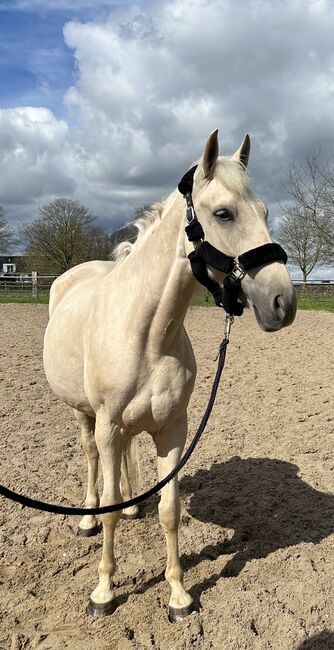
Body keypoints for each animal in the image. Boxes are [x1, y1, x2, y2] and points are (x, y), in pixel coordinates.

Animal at [43, 129, 296, 620]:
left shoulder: (173, 430)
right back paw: (86, 518)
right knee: (91, 459)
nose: (283, 302)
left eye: (265, 212)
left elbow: (170, 509)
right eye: (223, 213)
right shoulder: (108, 425)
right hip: (85, 415)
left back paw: (131, 509)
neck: (146, 335)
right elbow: (108, 504)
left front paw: (178, 594)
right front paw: (103, 592)